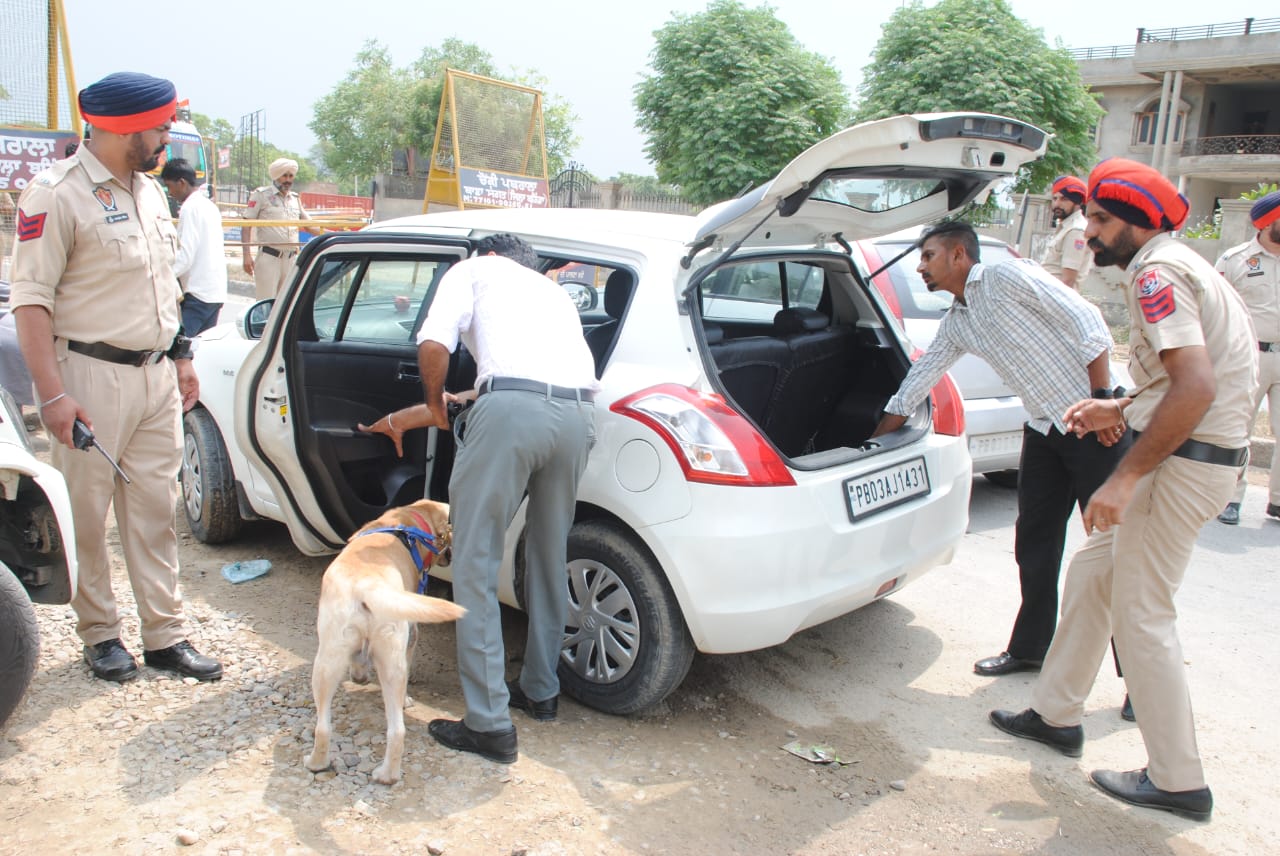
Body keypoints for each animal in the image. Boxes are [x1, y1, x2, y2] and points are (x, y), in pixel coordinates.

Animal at [304, 496, 465, 783]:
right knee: (396, 729)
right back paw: (387, 775)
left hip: (327, 660)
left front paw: (359, 676)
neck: (411, 520)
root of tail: (367, 584)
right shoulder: (412, 633)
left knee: (323, 727)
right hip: (391, 661)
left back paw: (318, 764)